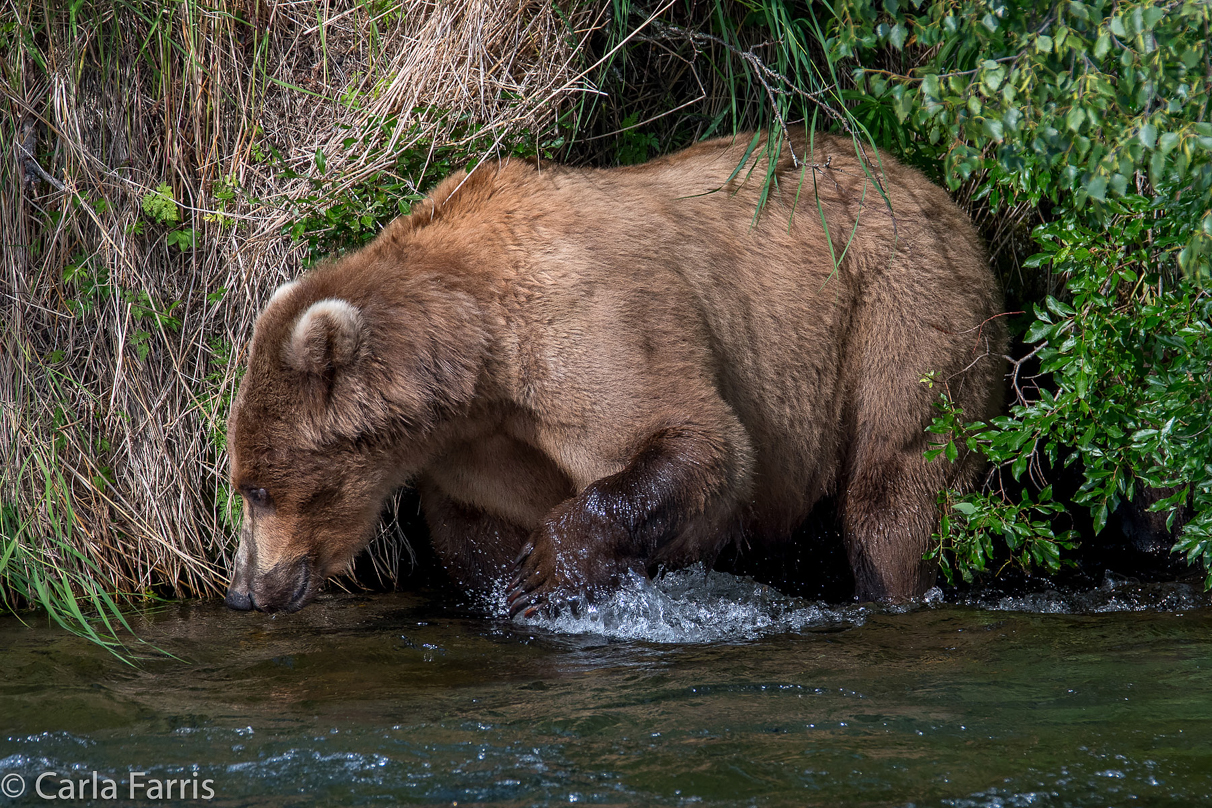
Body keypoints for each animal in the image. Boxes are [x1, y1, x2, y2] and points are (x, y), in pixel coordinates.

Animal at [225, 131, 1003, 612]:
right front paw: (509, 589)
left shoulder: (588, 321)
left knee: (894, 487)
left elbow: (692, 439)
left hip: (901, 311)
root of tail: (935, 189)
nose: (247, 589)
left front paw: (546, 570)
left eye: (258, 488)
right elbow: (478, 525)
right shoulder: (477, 444)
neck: (479, 357)